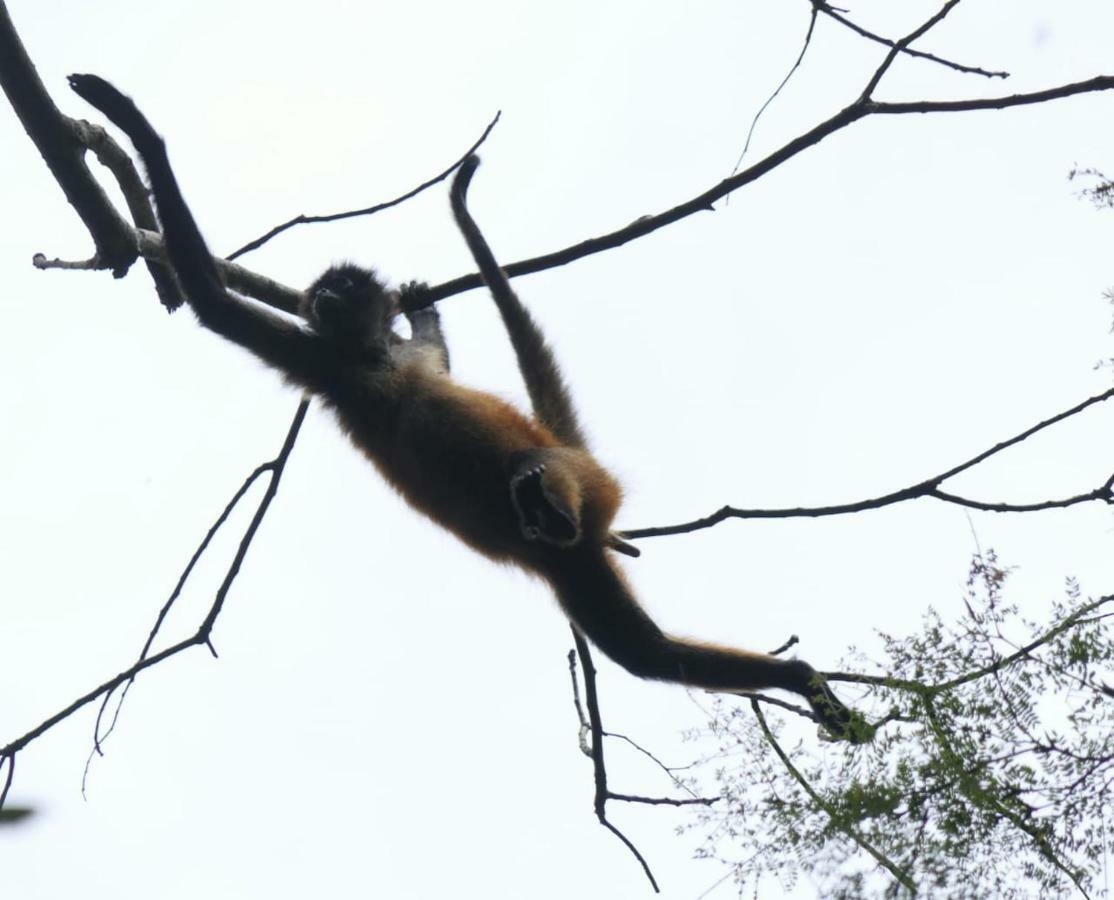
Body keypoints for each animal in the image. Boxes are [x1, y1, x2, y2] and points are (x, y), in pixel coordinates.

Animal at [69, 74, 864, 739]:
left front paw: (132, 125)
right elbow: (209, 299)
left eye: (342, 287)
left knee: (545, 484)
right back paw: (795, 675)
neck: (373, 359)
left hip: (579, 485)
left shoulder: (358, 358)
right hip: (575, 556)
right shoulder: (328, 362)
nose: (321, 299)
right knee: (646, 652)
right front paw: (132, 123)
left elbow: (218, 301)